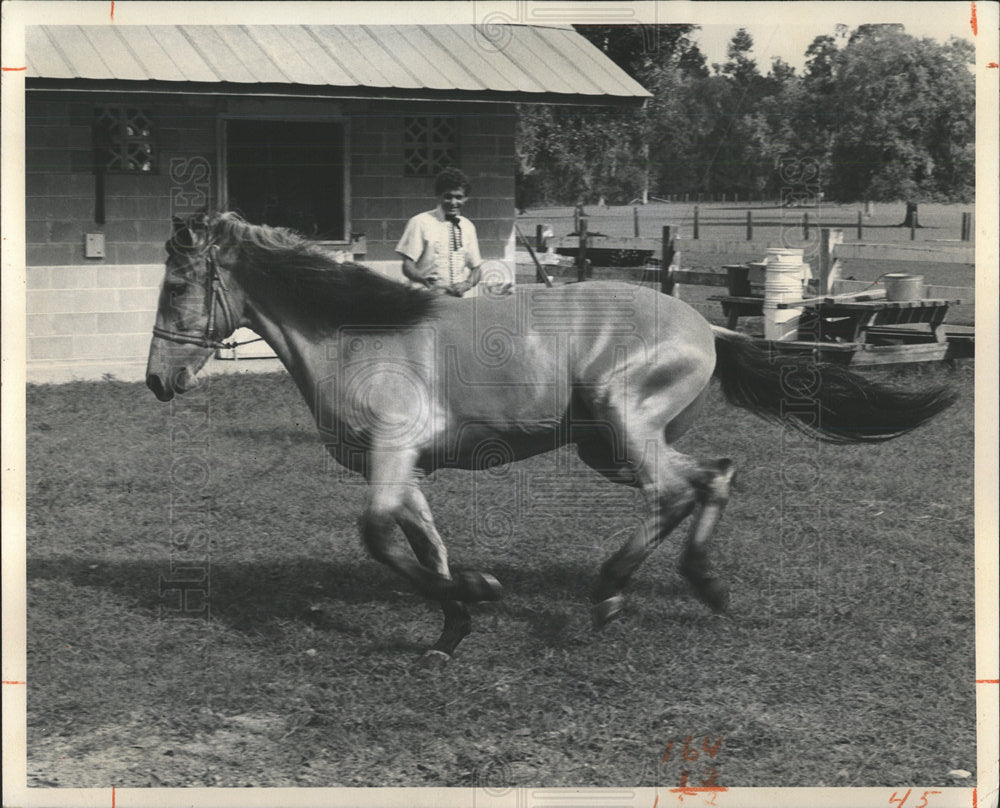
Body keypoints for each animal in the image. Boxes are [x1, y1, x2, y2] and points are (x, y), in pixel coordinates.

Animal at [146, 213, 952, 664]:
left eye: (176, 286)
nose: (158, 380)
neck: (359, 337)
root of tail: (709, 328)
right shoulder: (406, 468)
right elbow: (426, 544)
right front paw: (454, 627)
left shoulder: (390, 453)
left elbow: (377, 537)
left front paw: (476, 596)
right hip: (609, 449)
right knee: (712, 475)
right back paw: (705, 584)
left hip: (621, 422)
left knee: (671, 492)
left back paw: (611, 594)